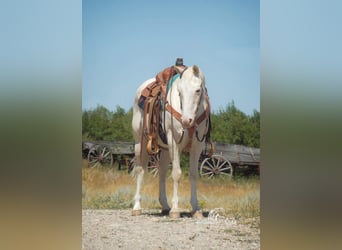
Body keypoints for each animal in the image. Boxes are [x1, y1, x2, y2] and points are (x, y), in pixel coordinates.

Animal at [132, 65, 211, 219]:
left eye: (198, 90)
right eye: (179, 92)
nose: (186, 121)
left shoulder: (197, 146)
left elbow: (193, 174)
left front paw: (196, 209)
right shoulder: (174, 142)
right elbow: (176, 173)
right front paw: (175, 209)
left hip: (165, 150)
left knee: (162, 173)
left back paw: (165, 206)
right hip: (141, 143)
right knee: (140, 170)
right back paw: (137, 207)